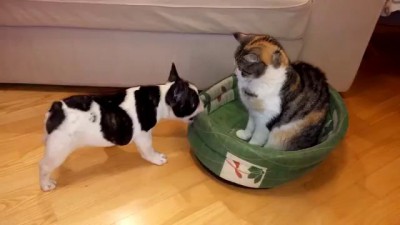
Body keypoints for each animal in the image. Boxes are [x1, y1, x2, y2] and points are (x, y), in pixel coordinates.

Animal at [38, 63, 203, 192]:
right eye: (194, 102)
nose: (203, 102)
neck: (160, 99)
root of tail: (57, 109)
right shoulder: (143, 135)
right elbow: (148, 149)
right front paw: (156, 158)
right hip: (59, 148)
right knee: (44, 166)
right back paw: (46, 184)